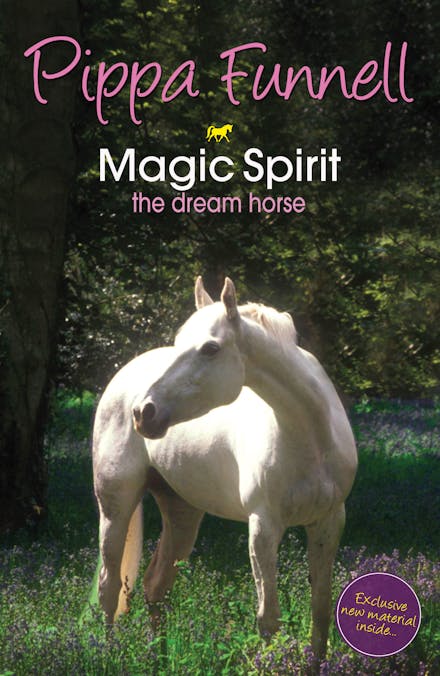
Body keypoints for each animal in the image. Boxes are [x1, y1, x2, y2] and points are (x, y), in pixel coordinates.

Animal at [92, 277, 357, 659]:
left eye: (210, 349)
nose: (144, 412)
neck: (311, 439)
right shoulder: (263, 527)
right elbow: (268, 618)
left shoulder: (329, 521)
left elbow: (321, 611)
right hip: (115, 508)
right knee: (110, 589)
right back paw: (108, 657)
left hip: (182, 513)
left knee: (156, 586)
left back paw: (159, 661)